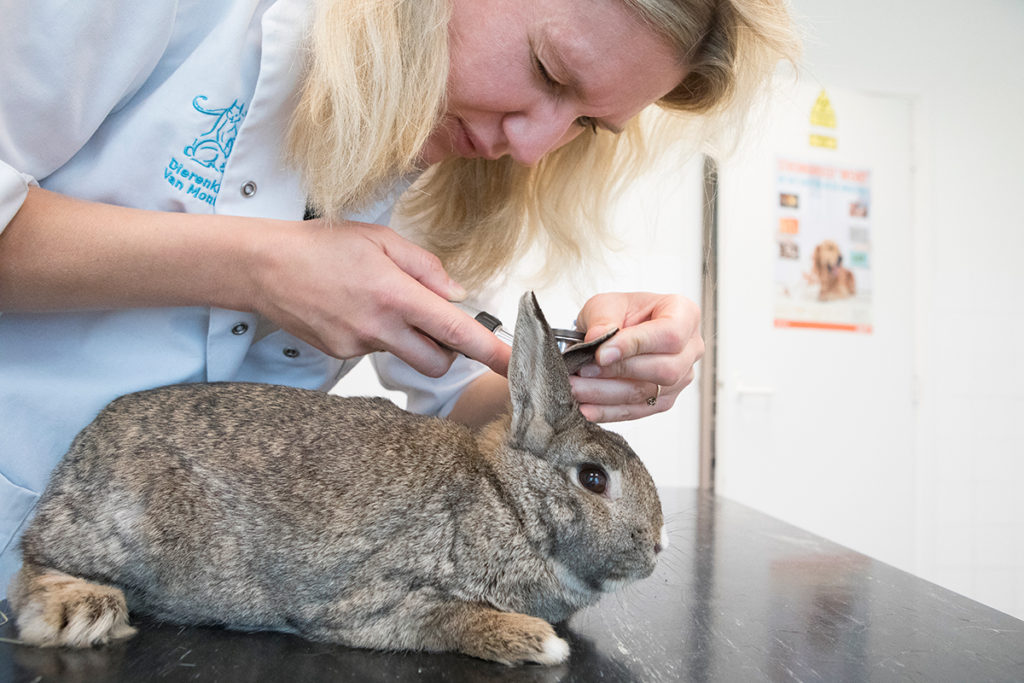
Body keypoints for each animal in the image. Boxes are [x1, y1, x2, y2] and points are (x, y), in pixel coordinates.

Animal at [9, 292, 663, 667]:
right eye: (593, 478)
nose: (655, 550)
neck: (509, 501)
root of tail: (78, 454)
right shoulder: (383, 601)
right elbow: (452, 620)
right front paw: (538, 642)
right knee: (32, 567)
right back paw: (83, 611)